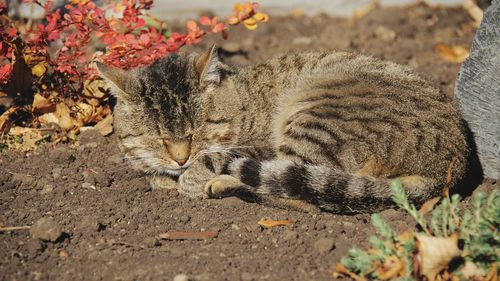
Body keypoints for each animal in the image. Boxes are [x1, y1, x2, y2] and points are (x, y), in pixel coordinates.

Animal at [96, 46, 472, 212]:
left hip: (316, 119)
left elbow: (211, 158)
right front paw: (162, 175)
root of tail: (451, 163)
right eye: (157, 137)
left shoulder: (255, 146)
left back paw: (223, 185)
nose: (179, 158)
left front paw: (189, 177)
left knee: (301, 195)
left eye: (197, 130)